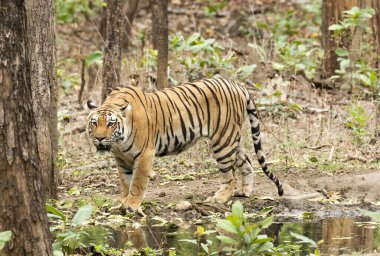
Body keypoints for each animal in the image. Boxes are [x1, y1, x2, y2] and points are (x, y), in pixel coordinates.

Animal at [86, 78, 282, 212]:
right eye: (94, 123)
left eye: (111, 123)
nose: (100, 138)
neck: (119, 141)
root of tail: (237, 84)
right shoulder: (121, 158)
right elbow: (126, 182)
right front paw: (124, 201)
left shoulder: (144, 154)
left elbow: (137, 182)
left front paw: (131, 205)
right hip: (231, 139)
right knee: (247, 162)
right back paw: (244, 191)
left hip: (223, 141)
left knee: (230, 175)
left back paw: (219, 198)